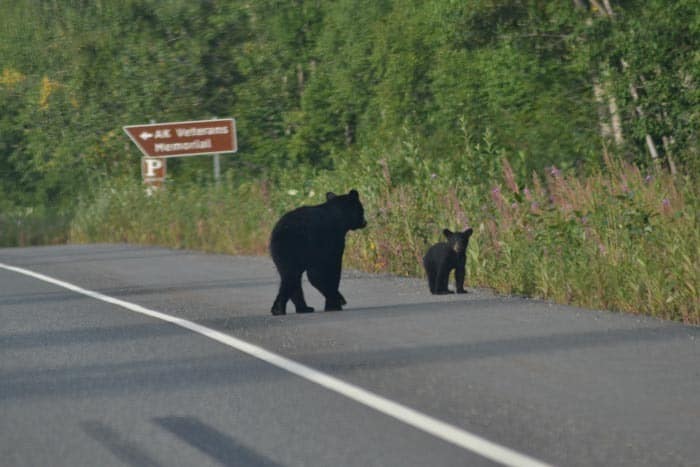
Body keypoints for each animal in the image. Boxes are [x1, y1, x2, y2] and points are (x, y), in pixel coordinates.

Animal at [268, 188, 366, 316]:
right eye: (362, 210)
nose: (365, 222)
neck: (339, 218)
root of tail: (281, 231)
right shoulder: (329, 242)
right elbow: (324, 271)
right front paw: (336, 303)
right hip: (296, 248)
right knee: (291, 276)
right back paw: (280, 309)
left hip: (280, 253)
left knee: (291, 277)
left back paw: (302, 308)